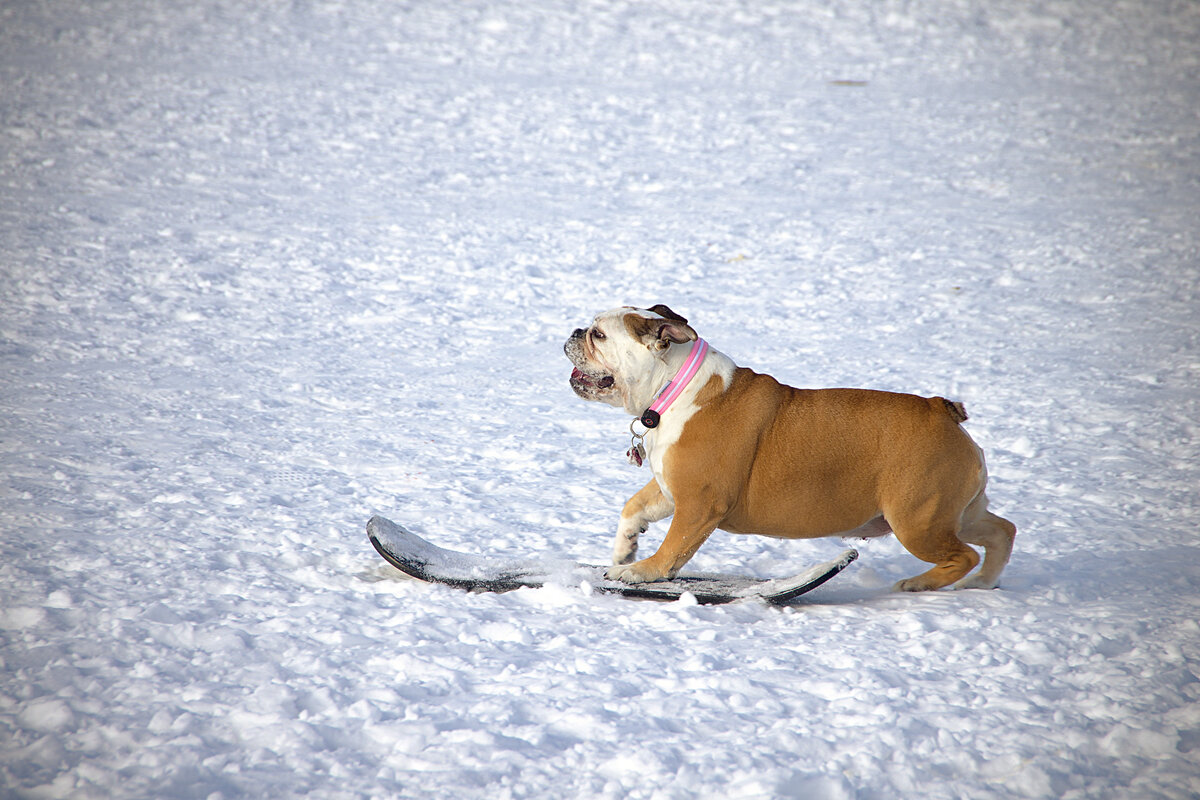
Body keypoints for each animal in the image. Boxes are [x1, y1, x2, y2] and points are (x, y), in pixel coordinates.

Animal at [566, 303, 1017, 592]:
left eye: (599, 335)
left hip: (916, 519)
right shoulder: (670, 486)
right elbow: (634, 506)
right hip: (954, 512)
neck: (673, 387)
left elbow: (675, 546)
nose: (574, 331)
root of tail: (943, 410)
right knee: (1000, 532)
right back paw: (983, 583)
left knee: (963, 554)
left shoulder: (699, 502)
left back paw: (919, 584)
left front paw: (641, 572)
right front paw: (625, 549)